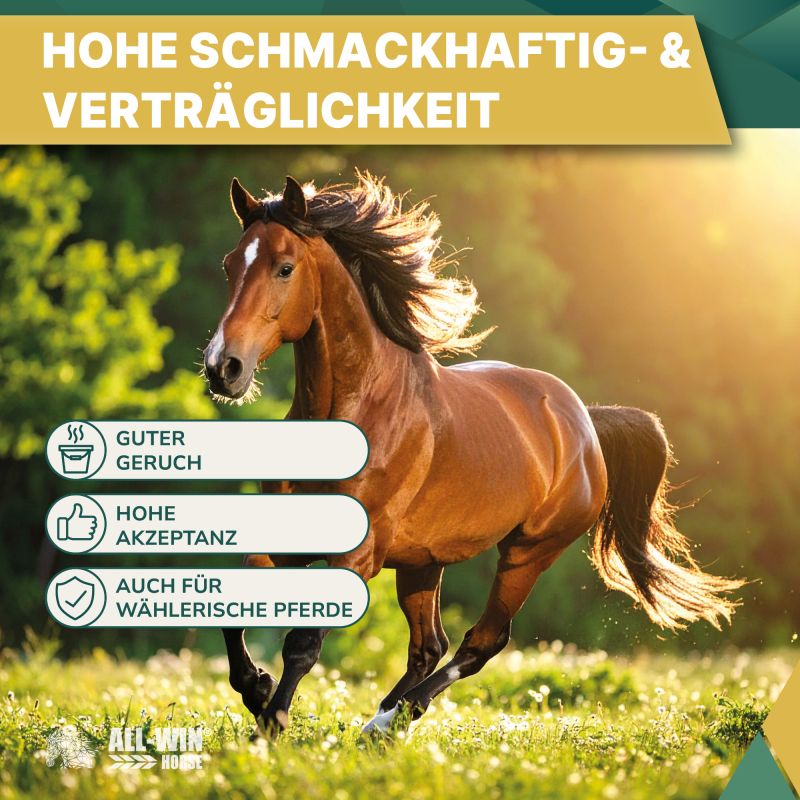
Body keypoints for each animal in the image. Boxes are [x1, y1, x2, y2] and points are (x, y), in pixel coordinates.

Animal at [203, 172, 743, 736]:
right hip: (423, 562)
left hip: (527, 553)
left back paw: (390, 720)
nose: (224, 367)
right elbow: (231, 609)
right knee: (429, 645)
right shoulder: (288, 538)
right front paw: (257, 688)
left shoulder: (358, 553)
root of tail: (586, 424)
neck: (356, 412)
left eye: (284, 267)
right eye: (230, 264)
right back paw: (383, 721)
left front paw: (273, 721)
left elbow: (304, 642)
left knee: (481, 643)